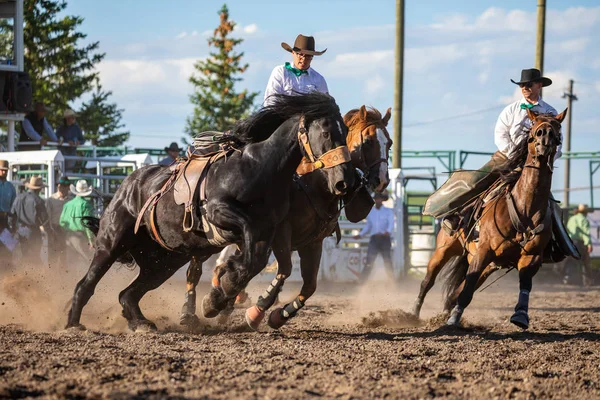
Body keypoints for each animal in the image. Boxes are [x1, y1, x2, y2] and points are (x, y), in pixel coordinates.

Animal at [65, 93, 356, 332]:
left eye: (345, 131)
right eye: (326, 132)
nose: (344, 182)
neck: (260, 167)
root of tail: (128, 185)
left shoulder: (269, 231)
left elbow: (257, 261)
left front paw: (219, 296)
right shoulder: (220, 212)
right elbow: (249, 246)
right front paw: (220, 294)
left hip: (164, 262)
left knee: (128, 294)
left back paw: (141, 323)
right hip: (111, 242)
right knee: (86, 284)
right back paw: (73, 324)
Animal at [412, 108, 568, 330]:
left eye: (557, 128)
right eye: (534, 125)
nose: (545, 135)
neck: (525, 208)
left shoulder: (531, 257)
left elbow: (525, 284)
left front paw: (520, 315)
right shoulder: (484, 251)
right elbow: (467, 288)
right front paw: (453, 319)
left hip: (487, 265)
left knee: (457, 290)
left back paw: (444, 313)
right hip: (445, 249)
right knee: (428, 281)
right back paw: (414, 314)